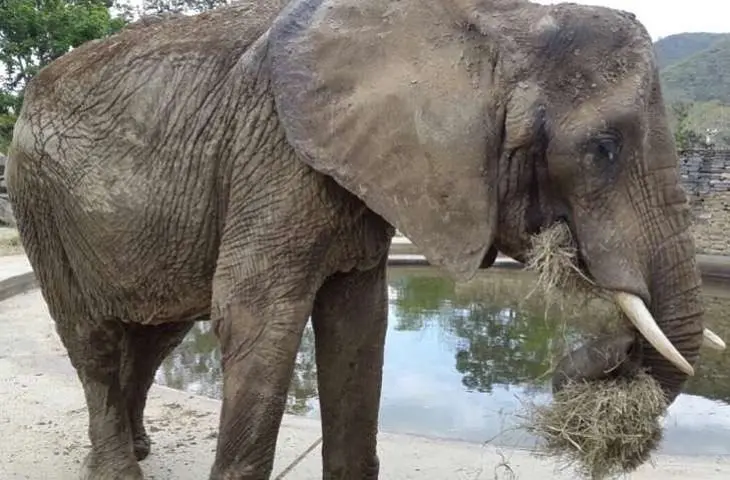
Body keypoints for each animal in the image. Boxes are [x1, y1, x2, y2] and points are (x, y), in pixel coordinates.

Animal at [4, 0, 726, 478]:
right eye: (601, 149)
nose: (608, 354)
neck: (493, 23)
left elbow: (359, 326)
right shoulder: (274, 157)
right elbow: (257, 319)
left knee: (156, 336)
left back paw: (139, 449)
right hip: (37, 195)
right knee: (95, 340)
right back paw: (117, 467)